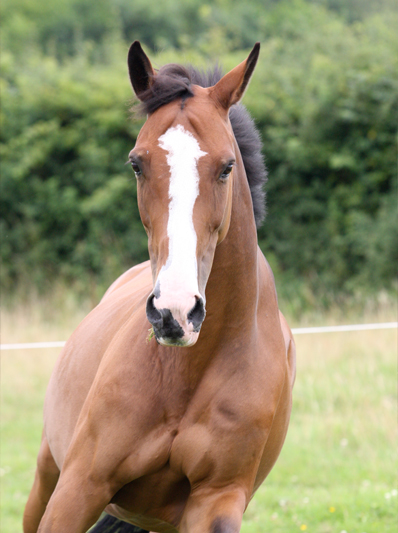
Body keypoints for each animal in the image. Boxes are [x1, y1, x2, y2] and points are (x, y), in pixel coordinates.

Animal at [21, 40, 296, 532]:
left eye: (226, 167)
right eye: (136, 163)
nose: (175, 313)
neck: (189, 371)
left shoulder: (215, 503)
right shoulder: (79, 487)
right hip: (48, 472)